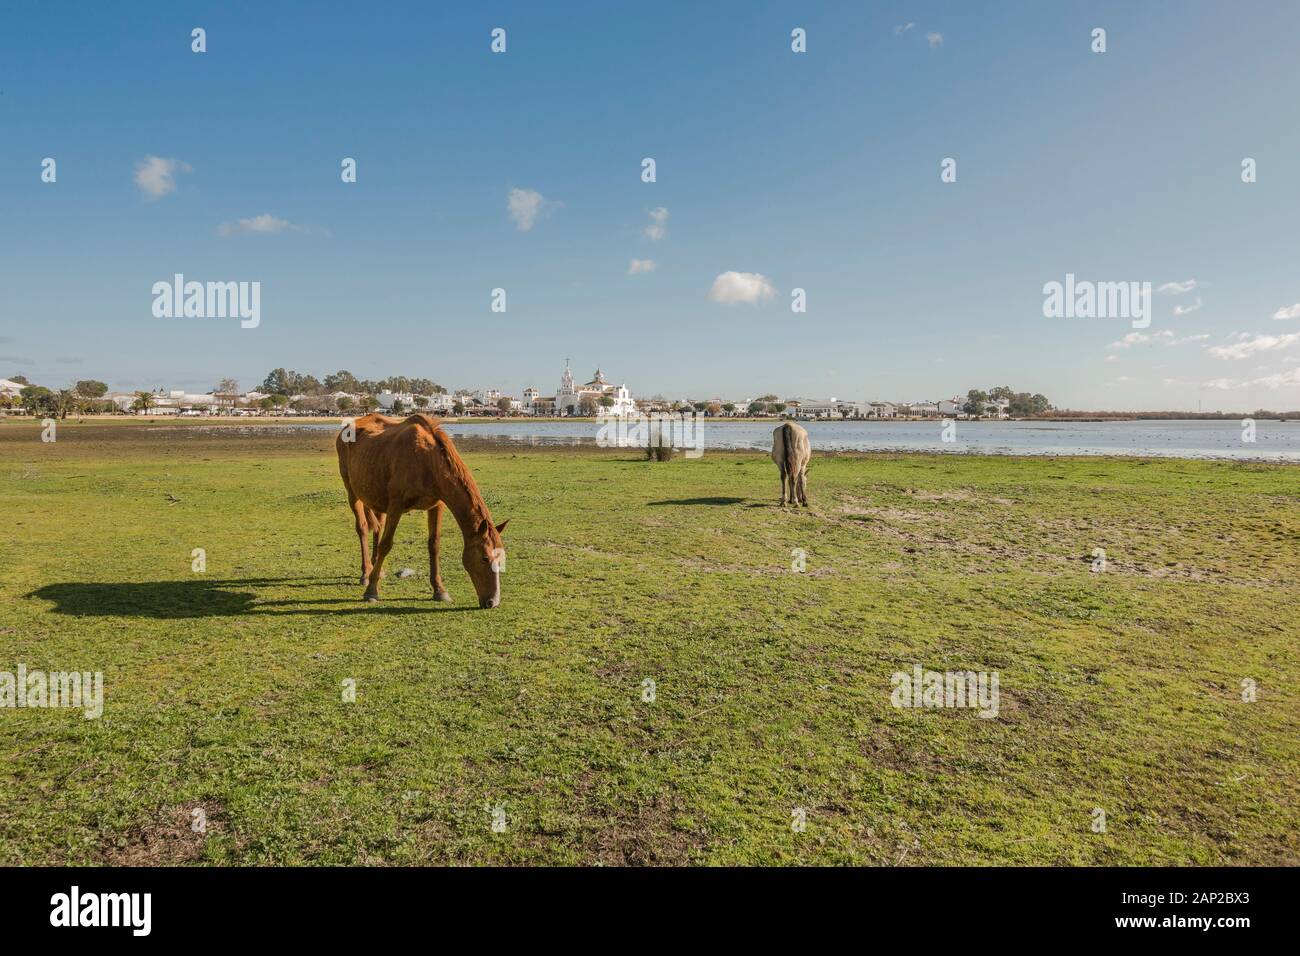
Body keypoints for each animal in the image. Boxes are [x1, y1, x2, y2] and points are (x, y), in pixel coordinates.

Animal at [335, 413, 508, 607]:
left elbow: (434, 545)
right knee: (363, 528)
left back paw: (376, 569)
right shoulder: (396, 506)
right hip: (352, 493)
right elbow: (386, 545)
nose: (492, 601)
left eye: (501, 558)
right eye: (485, 558)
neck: (426, 460)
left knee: (377, 527)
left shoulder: (436, 506)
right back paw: (366, 573)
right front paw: (372, 591)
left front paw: (440, 590)